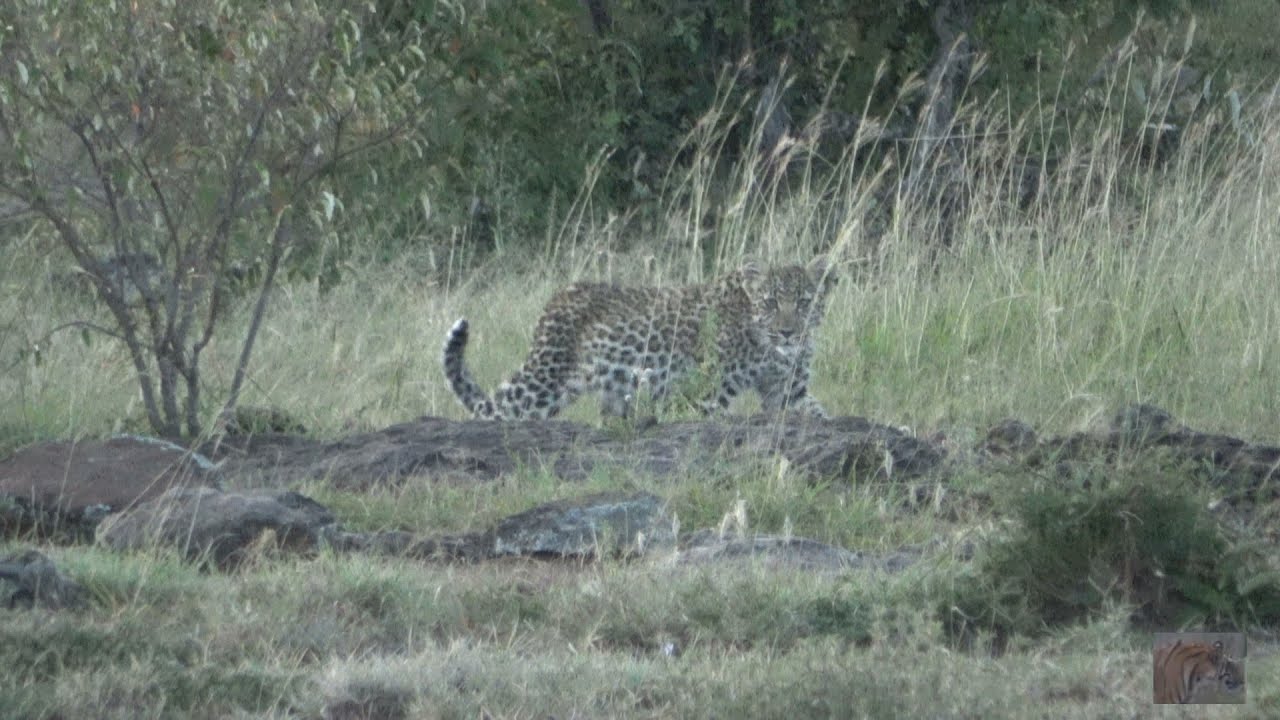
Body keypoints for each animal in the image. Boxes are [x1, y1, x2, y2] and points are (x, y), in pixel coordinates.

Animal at [442, 258, 837, 422]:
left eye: (804, 303)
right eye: (771, 303)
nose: (788, 332)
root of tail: (558, 297)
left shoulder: (788, 392)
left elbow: (818, 413)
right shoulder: (708, 394)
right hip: (542, 383)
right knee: (492, 410)